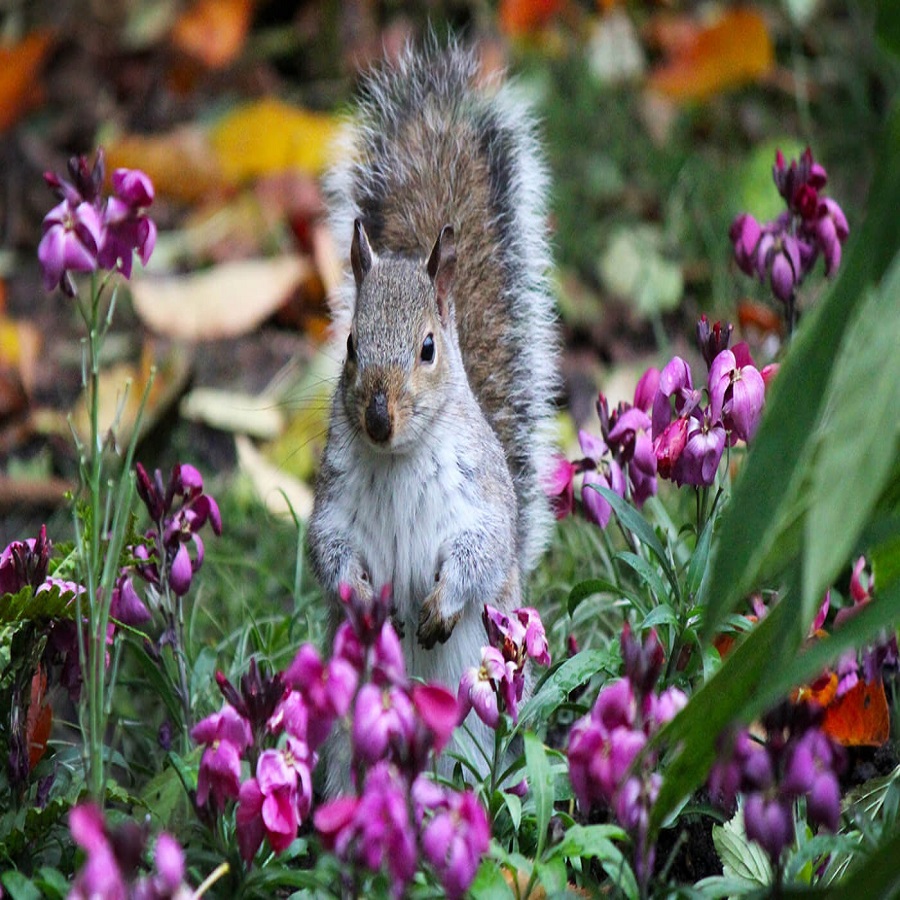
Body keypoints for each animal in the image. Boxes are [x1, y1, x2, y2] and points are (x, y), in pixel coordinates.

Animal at [308, 40, 558, 765]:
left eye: (427, 349)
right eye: (351, 345)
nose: (377, 418)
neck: (399, 456)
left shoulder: (482, 499)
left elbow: (484, 550)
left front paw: (440, 606)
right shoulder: (334, 500)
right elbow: (330, 550)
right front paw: (366, 601)